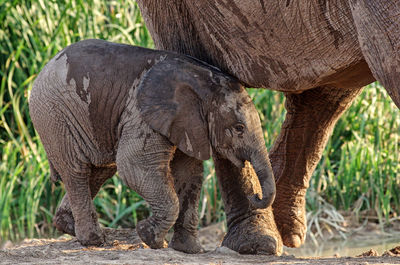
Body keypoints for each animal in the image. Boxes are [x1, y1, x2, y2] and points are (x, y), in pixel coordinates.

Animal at [29, 38, 276, 252]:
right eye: (239, 128)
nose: (255, 196)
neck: (204, 81)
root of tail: (45, 66)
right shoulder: (142, 114)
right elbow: (134, 166)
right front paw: (149, 236)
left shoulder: (189, 124)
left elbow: (189, 174)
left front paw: (189, 250)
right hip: (54, 114)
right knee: (77, 170)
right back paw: (94, 240)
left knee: (100, 170)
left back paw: (67, 226)